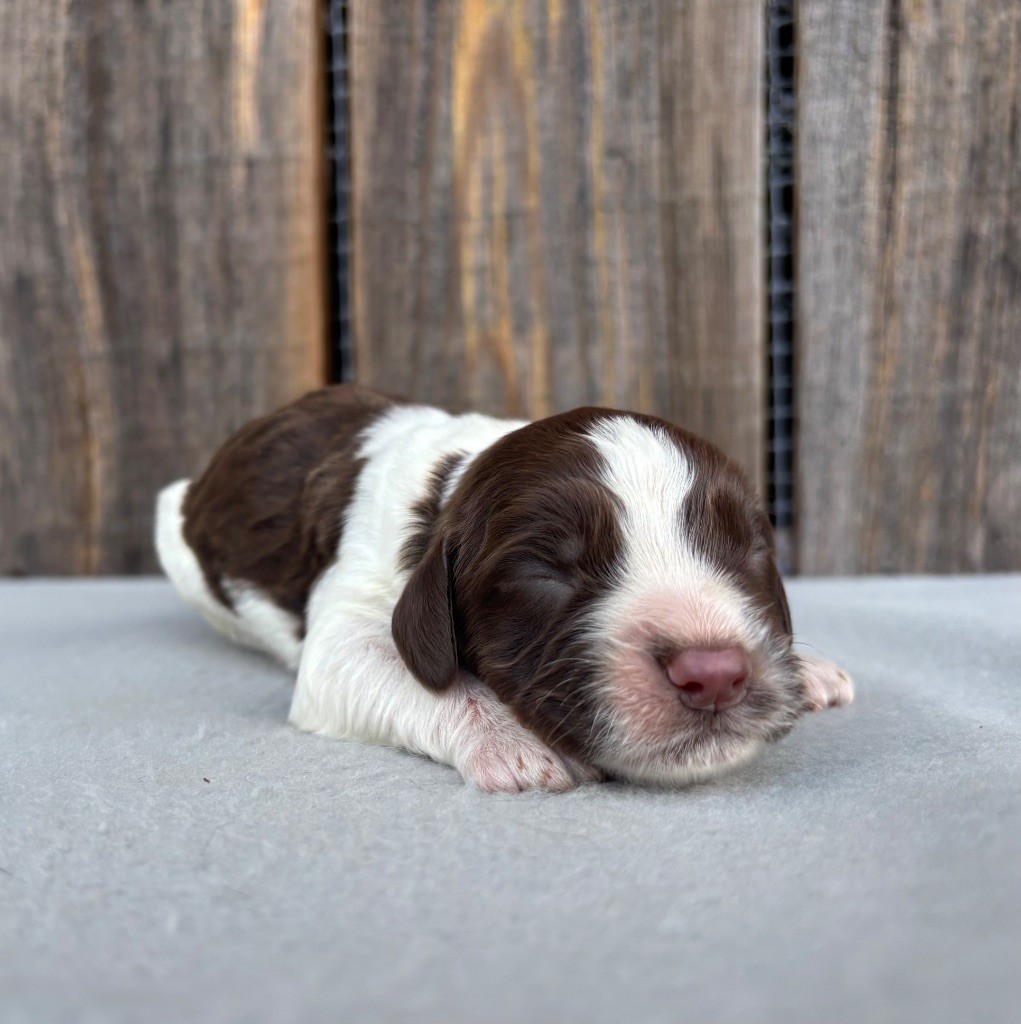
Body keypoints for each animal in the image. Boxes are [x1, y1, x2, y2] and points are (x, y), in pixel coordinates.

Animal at [153, 385, 852, 790]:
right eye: (545, 570)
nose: (714, 673)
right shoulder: (346, 618)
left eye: (746, 548)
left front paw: (807, 668)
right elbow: (398, 668)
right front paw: (513, 741)